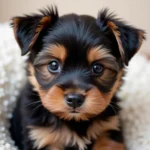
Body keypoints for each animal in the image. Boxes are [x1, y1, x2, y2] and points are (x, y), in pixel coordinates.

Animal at [9, 6, 145, 150]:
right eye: (53, 65)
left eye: (98, 67)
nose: (74, 99)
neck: (75, 121)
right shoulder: (42, 137)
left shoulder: (109, 132)